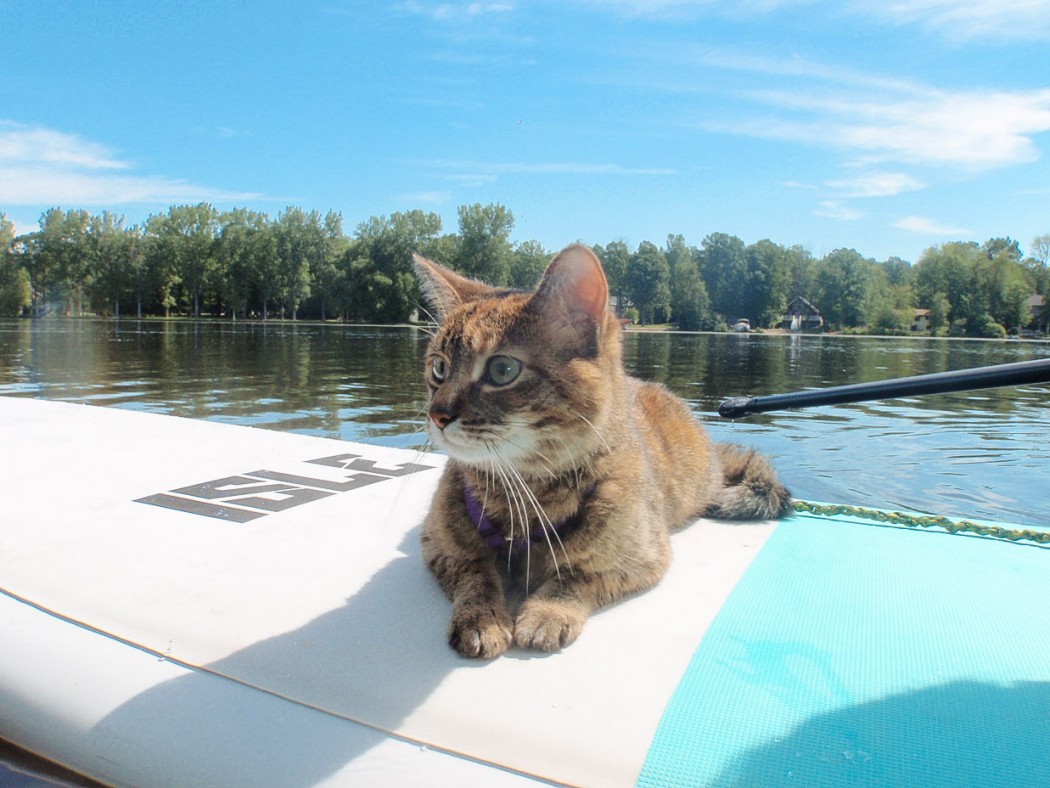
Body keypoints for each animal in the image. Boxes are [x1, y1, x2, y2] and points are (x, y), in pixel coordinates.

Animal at [409, 245, 789, 659]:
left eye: (503, 370)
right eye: (439, 367)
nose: (436, 414)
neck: (523, 495)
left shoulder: (644, 557)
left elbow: (576, 577)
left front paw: (547, 612)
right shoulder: (438, 545)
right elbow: (476, 572)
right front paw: (483, 618)